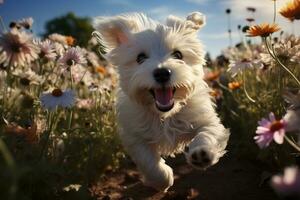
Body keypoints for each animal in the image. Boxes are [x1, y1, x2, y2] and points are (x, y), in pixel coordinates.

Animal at [93, 11, 230, 191]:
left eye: (178, 54)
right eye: (140, 58)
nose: (162, 73)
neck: (165, 115)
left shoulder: (207, 120)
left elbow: (207, 134)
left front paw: (202, 154)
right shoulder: (135, 136)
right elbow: (148, 161)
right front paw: (163, 179)